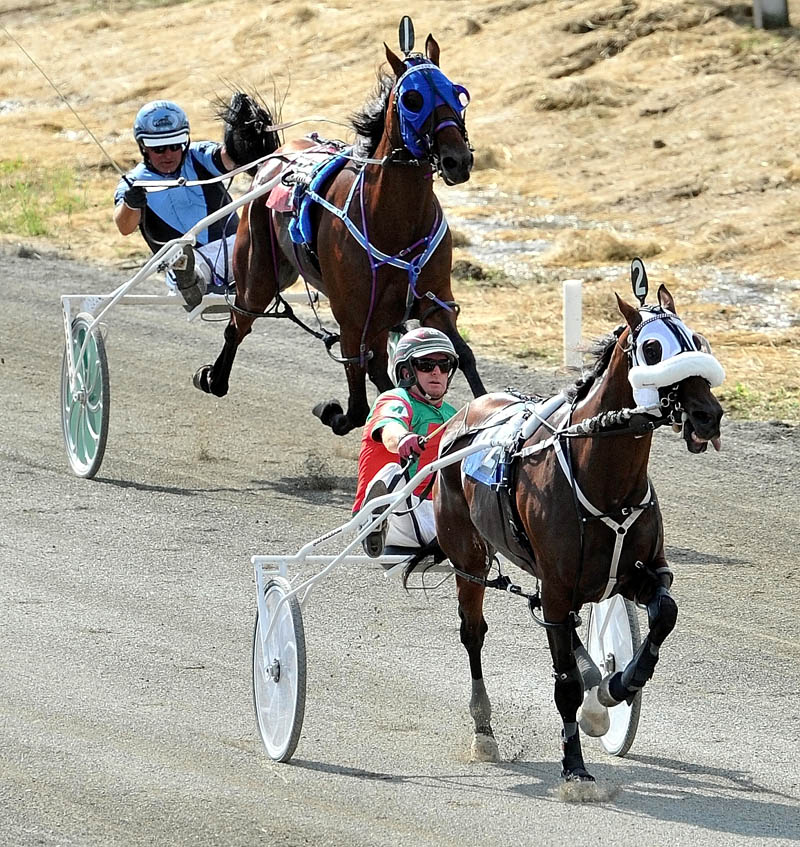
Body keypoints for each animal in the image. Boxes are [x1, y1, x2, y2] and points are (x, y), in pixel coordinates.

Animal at [192, 23, 488, 434]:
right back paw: (213, 377)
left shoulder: (432, 300)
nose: (457, 160)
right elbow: (357, 403)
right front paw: (335, 411)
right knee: (239, 323)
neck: (393, 221)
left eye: (458, 95)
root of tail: (275, 159)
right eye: (413, 99)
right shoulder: (351, 315)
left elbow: (462, 354)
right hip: (259, 275)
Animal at [428, 262, 728, 784]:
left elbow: (664, 615)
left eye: (696, 340)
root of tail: (460, 419)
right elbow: (564, 682)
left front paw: (617, 685)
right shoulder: (557, 586)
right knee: (473, 631)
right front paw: (575, 768)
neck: (603, 475)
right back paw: (484, 730)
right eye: (654, 350)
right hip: (468, 557)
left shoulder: (639, 573)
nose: (707, 415)